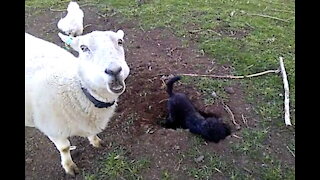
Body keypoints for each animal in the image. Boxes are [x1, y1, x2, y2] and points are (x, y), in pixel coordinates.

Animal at [25, 29, 130, 176]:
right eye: (83, 48)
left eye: (120, 42)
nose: (114, 70)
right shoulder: (53, 129)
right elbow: (64, 147)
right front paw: (69, 166)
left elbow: (92, 133)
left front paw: (96, 141)